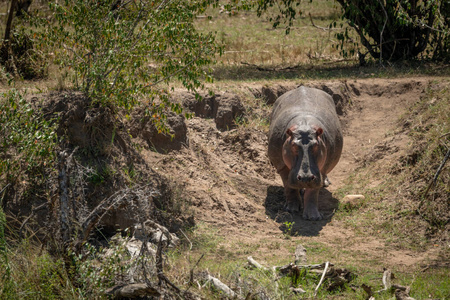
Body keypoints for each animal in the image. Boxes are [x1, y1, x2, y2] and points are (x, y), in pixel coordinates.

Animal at [268, 86, 344, 220]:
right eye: (293, 145)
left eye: (316, 145)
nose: (305, 177)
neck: (304, 125)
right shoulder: (281, 165)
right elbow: (288, 186)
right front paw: (291, 209)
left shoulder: (320, 170)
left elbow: (313, 192)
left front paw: (313, 217)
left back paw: (324, 183)